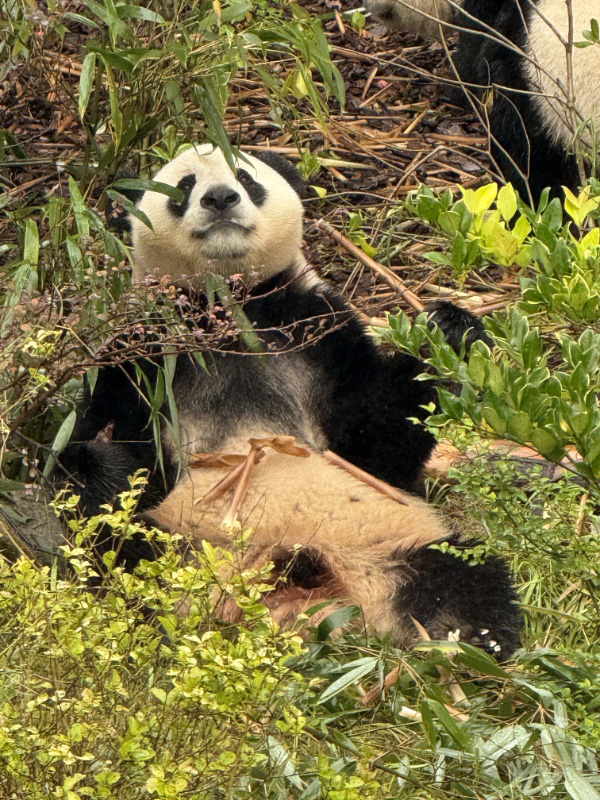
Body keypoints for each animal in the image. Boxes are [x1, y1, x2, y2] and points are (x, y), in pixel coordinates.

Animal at [59, 143, 521, 658]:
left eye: (245, 177)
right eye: (184, 187)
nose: (220, 198)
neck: (231, 307)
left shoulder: (317, 330)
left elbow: (375, 447)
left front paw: (447, 330)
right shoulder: (142, 354)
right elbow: (105, 446)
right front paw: (100, 455)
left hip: (390, 544)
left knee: (464, 580)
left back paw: (471, 640)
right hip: (181, 550)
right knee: (125, 557)